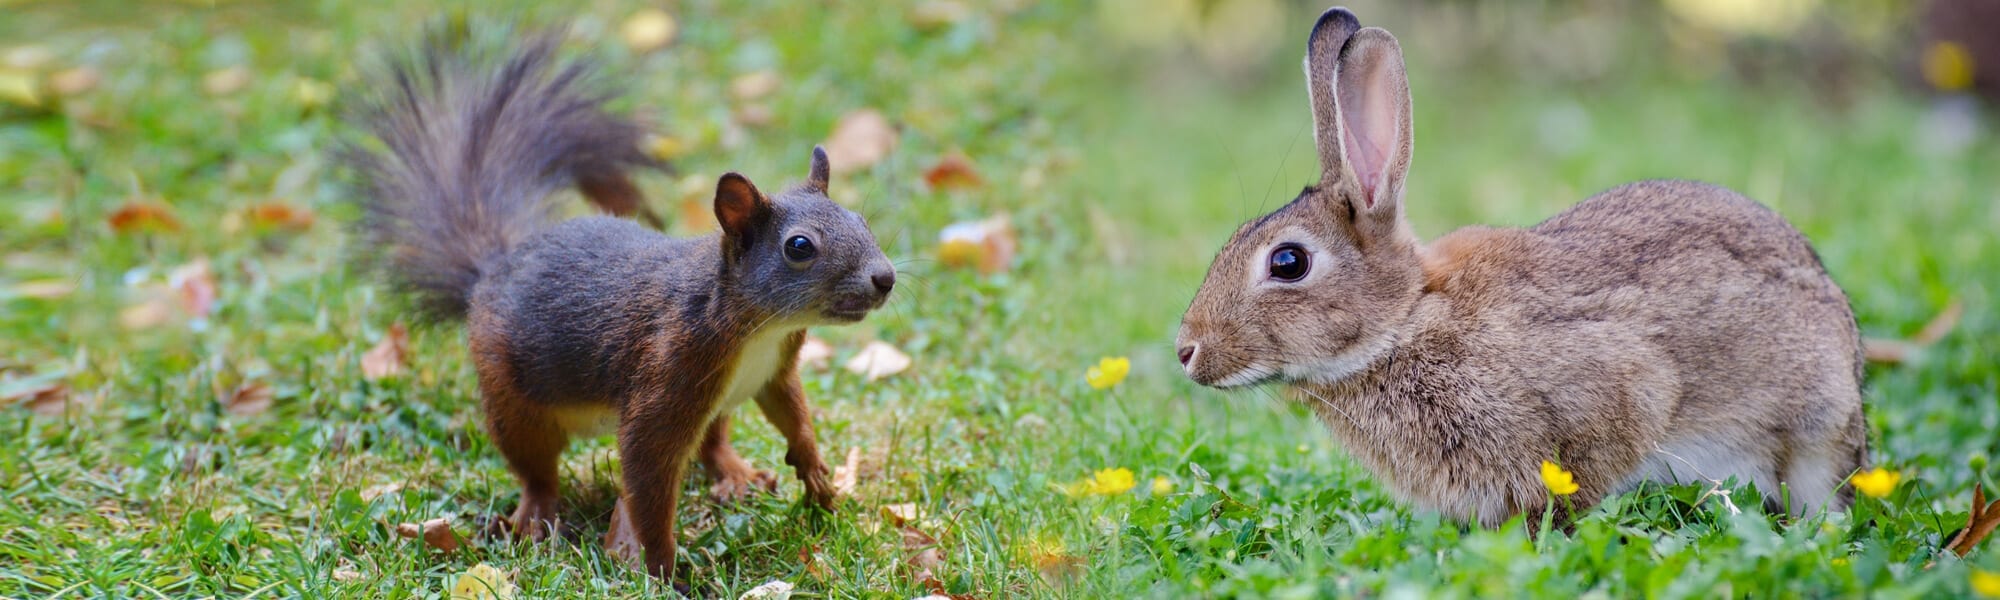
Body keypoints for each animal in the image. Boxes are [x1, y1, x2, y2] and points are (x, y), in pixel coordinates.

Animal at [343, 31, 896, 581]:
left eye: (862, 221)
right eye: (799, 247)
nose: (885, 278)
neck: (760, 327)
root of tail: (492, 269)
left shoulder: (775, 370)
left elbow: (792, 412)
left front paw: (817, 474)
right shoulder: (669, 371)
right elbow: (648, 475)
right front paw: (664, 570)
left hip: (714, 406)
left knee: (713, 441)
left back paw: (735, 474)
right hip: (511, 395)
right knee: (534, 466)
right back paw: (537, 515)